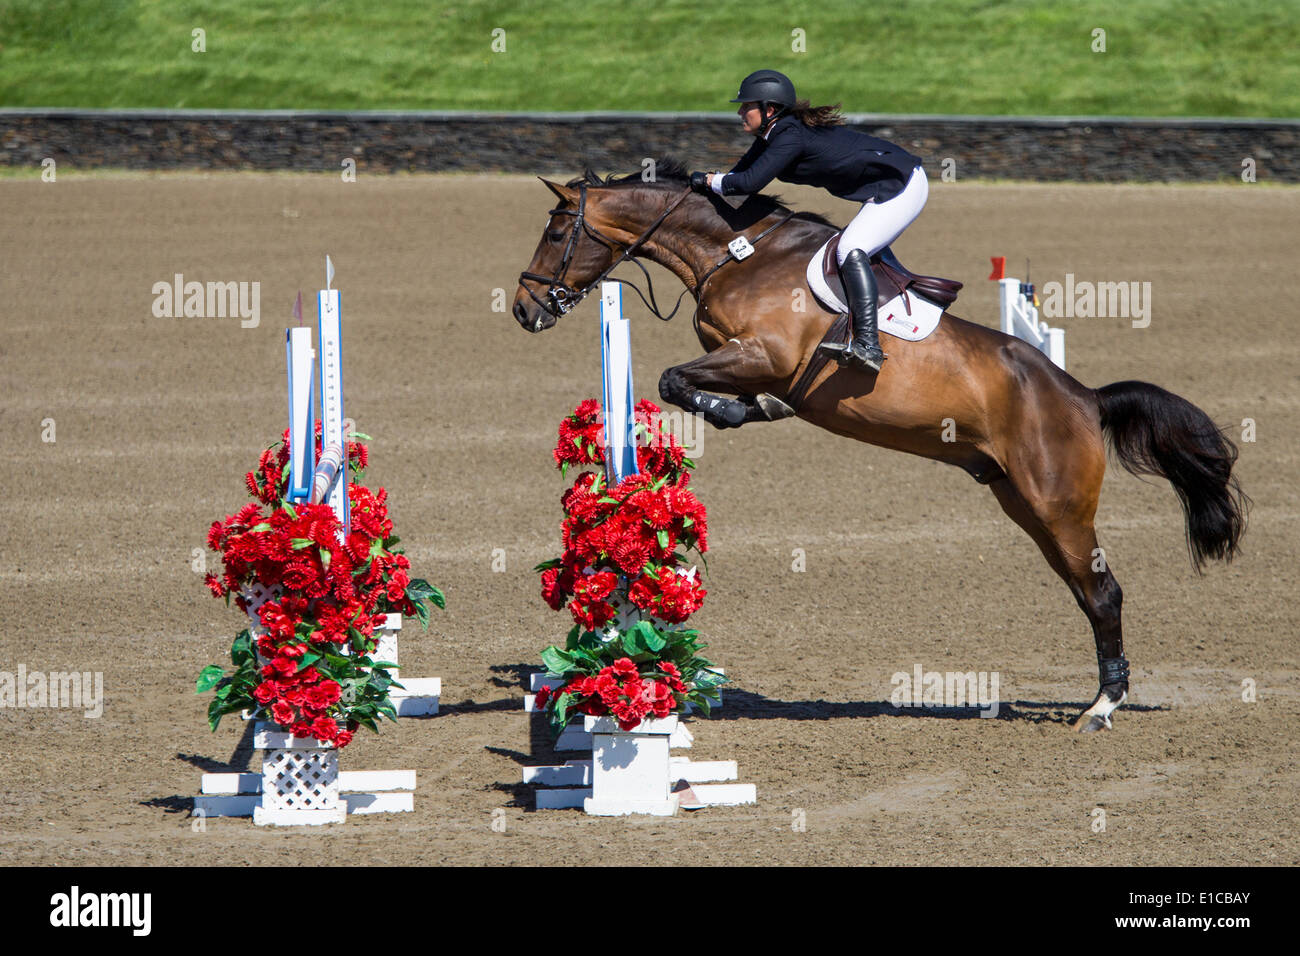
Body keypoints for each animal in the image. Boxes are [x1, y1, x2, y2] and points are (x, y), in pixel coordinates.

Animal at [509, 160, 1248, 738]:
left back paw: (1101, 708)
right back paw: (1098, 696)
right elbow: (682, 383)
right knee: (1084, 590)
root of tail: (1086, 398)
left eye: (555, 231)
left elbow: (675, 379)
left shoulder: (762, 355)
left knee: (1103, 593)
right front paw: (745, 411)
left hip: (1057, 504)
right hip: (1022, 502)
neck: (737, 254)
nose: (523, 310)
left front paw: (741, 410)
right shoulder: (742, 358)